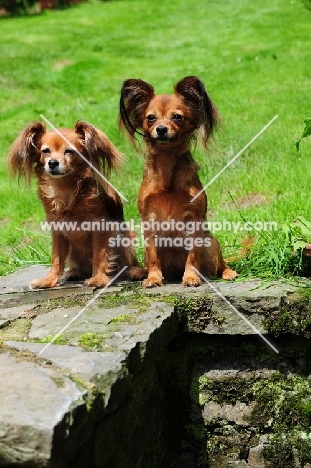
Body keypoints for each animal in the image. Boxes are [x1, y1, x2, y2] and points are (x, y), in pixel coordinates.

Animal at [7, 119, 141, 288]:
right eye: (45, 151)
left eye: (69, 151)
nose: (52, 163)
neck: (65, 188)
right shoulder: (57, 229)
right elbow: (56, 258)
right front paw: (49, 281)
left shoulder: (100, 227)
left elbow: (100, 254)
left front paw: (98, 279)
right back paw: (74, 273)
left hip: (127, 238)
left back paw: (133, 272)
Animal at [120, 75, 239, 288]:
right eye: (151, 117)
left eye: (177, 117)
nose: (161, 129)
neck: (167, 165)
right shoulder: (149, 221)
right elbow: (153, 256)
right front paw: (153, 278)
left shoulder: (194, 220)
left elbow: (192, 255)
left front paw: (191, 277)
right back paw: (141, 272)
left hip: (211, 243)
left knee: (220, 264)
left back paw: (227, 272)